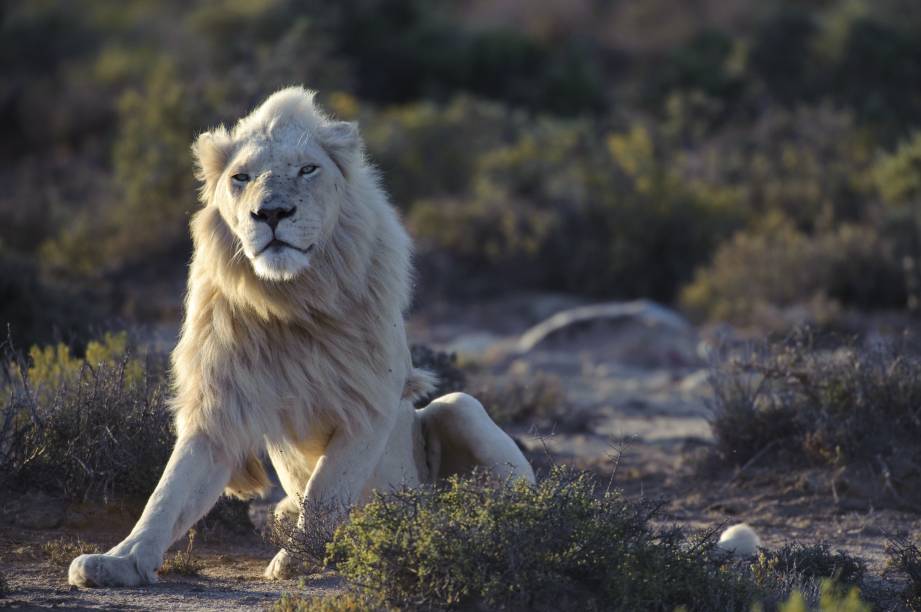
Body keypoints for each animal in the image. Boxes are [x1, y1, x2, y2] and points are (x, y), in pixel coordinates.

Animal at [70, 87, 532, 588]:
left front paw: (297, 560)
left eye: (308, 169)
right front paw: (119, 560)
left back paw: (454, 525)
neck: (289, 299)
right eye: (241, 177)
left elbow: (328, 488)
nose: (271, 213)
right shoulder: (220, 402)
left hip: (459, 409)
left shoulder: (369, 400)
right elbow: (171, 490)